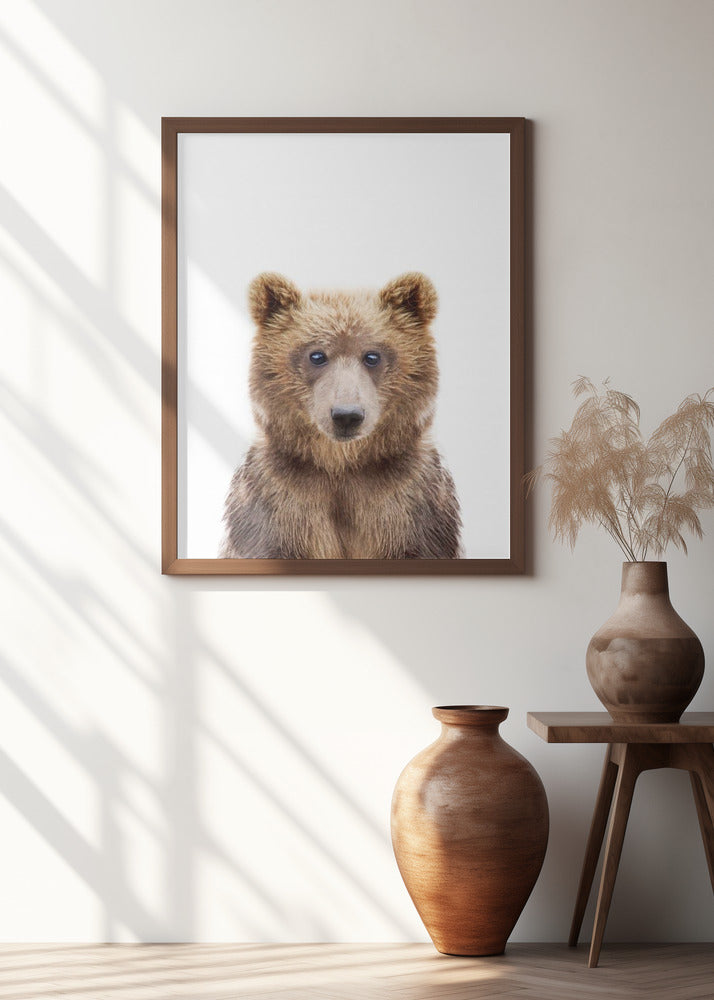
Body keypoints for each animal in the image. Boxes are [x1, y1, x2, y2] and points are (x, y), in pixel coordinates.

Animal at [219, 271, 462, 559]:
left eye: (372, 356)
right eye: (317, 355)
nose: (347, 415)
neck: (341, 466)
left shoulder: (410, 503)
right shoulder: (278, 501)